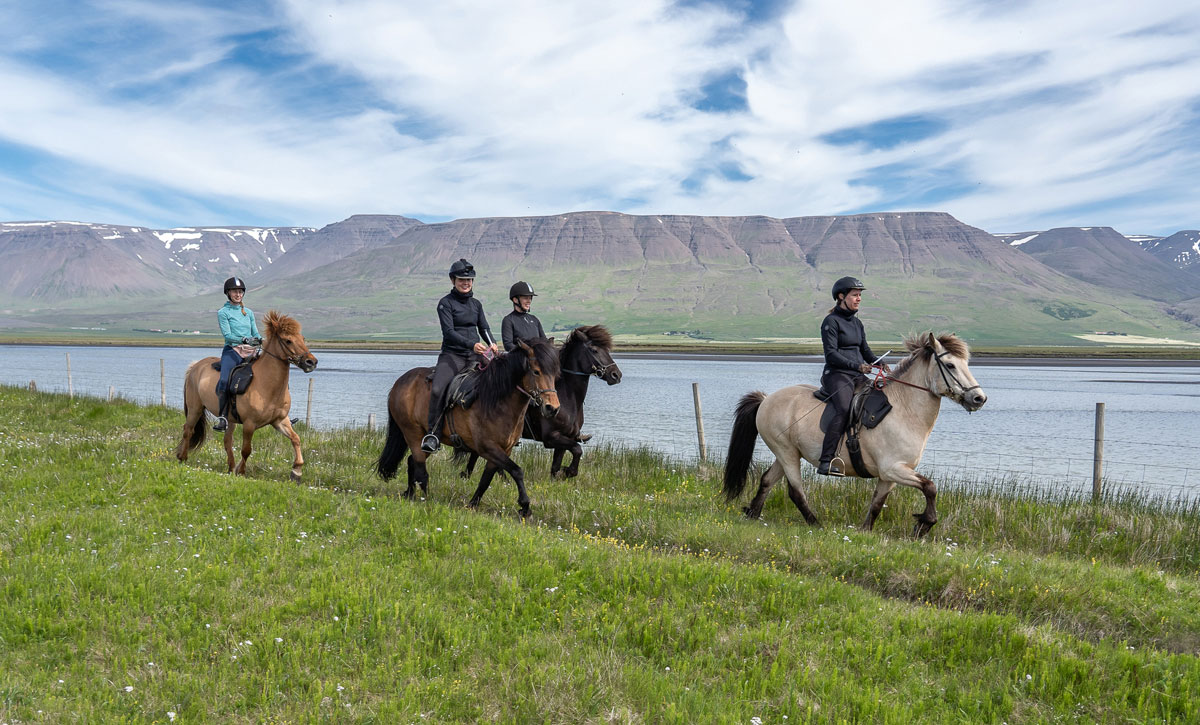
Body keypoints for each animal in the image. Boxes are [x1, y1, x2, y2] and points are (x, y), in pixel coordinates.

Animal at [175, 309, 319, 477]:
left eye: (303, 338)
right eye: (288, 340)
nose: (311, 362)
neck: (267, 386)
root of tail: (195, 366)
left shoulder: (280, 421)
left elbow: (296, 439)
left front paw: (297, 471)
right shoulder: (249, 424)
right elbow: (246, 450)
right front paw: (242, 472)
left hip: (229, 419)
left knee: (227, 440)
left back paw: (230, 468)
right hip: (195, 408)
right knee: (188, 430)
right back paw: (182, 457)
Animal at [374, 338, 561, 516]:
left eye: (555, 374)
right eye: (536, 371)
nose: (552, 408)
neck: (497, 401)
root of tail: (400, 382)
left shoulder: (503, 450)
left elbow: (486, 479)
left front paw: (472, 504)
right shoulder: (487, 447)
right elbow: (517, 471)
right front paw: (525, 506)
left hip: (420, 439)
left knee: (411, 460)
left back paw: (410, 493)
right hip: (412, 433)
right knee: (421, 470)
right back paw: (425, 499)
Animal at [458, 326, 624, 477]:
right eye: (594, 350)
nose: (616, 375)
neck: (568, 397)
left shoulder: (566, 438)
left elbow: (556, 466)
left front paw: (562, 475)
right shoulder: (551, 437)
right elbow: (577, 449)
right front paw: (569, 471)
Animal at [720, 333, 984, 537]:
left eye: (966, 363)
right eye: (950, 365)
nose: (979, 398)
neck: (904, 410)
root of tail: (766, 399)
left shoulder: (890, 475)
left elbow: (877, 504)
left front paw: (866, 531)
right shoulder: (893, 469)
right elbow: (930, 487)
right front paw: (924, 524)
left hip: (786, 453)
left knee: (767, 480)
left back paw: (753, 513)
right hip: (786, 452)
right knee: (795, 491)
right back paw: (816, 524)